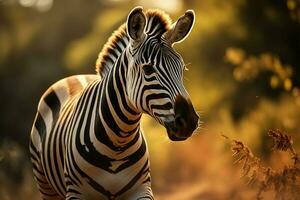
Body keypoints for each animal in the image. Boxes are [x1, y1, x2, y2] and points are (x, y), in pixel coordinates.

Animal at [29, 6, 199, 200]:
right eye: (148, 69)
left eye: (182, 69)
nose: (189, 121)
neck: (118, 143)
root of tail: (73, 77)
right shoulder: (75, 193)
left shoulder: (142, 189)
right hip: (45, 185)